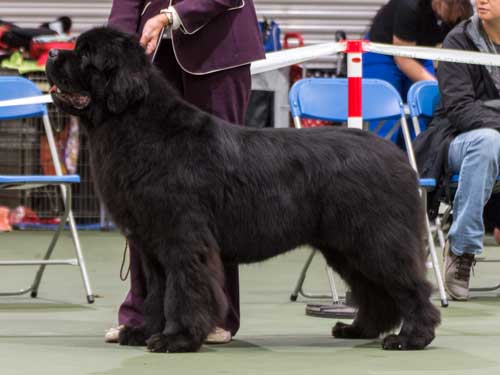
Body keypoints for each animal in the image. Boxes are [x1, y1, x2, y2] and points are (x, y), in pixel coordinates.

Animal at [45, 27, 440, 354]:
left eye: (85, 55)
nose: (50, 55)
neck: (138, 125)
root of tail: (398, 157)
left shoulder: (182, 237)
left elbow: (183, 289)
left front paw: (177, 339)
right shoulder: (151, 243)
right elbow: (157, 293)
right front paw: (143, 332)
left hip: (376, 238)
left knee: (410, 286)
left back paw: (411, 338)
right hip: (345, 245)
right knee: (374, 291)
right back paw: (358, 329)